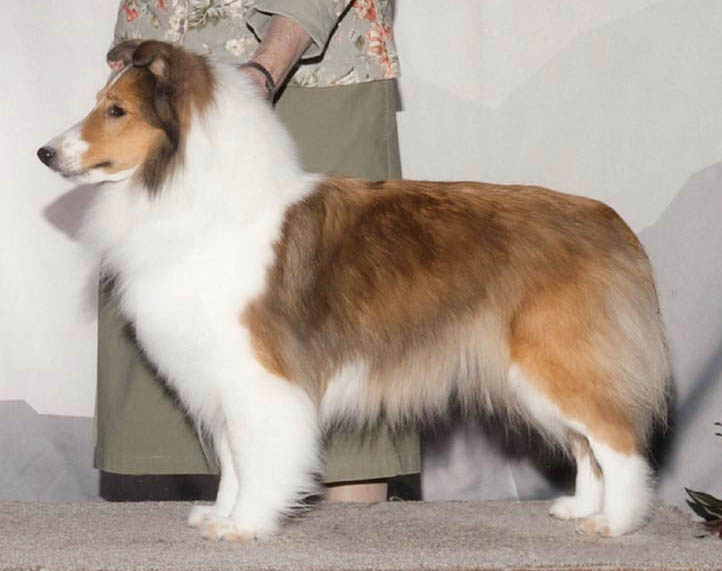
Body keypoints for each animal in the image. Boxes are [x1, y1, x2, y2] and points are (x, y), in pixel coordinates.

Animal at [38, 40, 670, 540]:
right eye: (101, 102)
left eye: (116, 110)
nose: (44, 153)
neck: (190, 197)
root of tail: (610, 222)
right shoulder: (220, 374)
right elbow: (233, 458)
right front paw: (220, 516)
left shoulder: (257, 375)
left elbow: (257, 457)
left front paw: (246, 525)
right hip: (535, 373)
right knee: (587, 445)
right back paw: (582, 509)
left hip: (555, 359)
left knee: (616, 440)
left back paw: (617, 522)